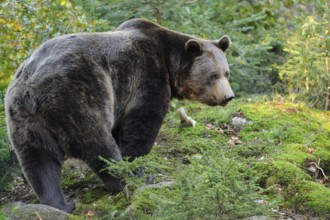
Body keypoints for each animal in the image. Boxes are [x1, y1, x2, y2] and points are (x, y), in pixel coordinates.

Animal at [3, 18, 233, 213]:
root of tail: (31, 89)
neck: (168, 61)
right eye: (213, 75)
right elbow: (140, 126)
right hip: (77, 96)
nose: (228, 96)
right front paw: (139, 169)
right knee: (98, 144)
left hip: (24, 121)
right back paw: (123, 180)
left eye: (226, 73)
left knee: (39, 161)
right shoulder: (145, 76)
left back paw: (60, 203)